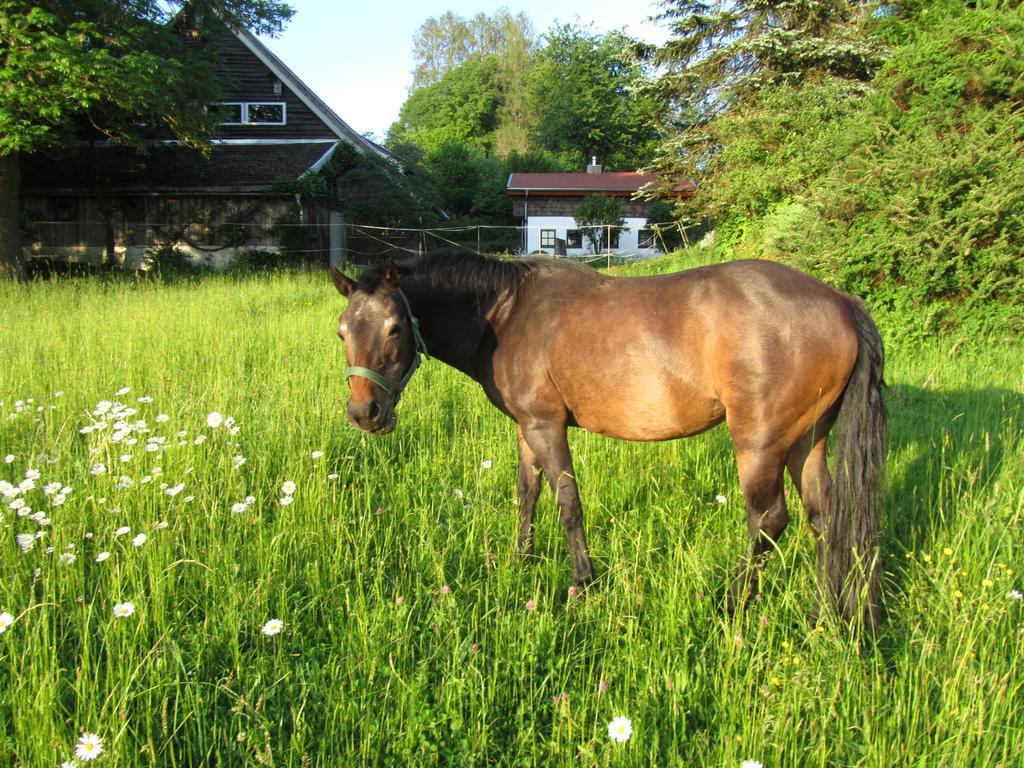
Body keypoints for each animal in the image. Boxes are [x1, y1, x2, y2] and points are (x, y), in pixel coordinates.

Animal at [329, 249, 888, 626]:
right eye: (342, 331)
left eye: (395, 327)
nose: (364, 413)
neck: (505, 313)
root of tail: (840, 301)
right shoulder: (526, 428)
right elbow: (527, 495)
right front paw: (520, 562)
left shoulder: (545, 425)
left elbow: (567, 502)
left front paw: (583, 581)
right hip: (806, 440)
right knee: (824, 518)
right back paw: (824, 613)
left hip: (760, 443)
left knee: (769, 519)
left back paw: (731, 605)